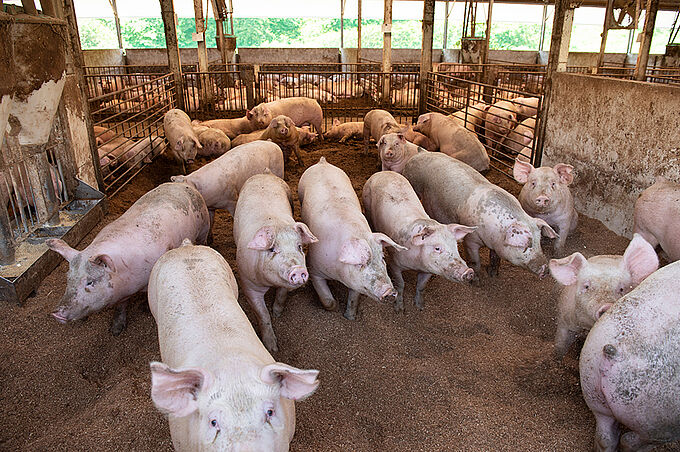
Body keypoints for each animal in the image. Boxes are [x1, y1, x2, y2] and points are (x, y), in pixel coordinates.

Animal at [46, 182, 210, 335]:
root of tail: (182, 184)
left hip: (204, 224)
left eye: (90, 282)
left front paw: (144, 308)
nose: (56, 313)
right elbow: (121, 306)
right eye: (68, 278)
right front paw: (115, 330)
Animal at [234, 173, 318, 352]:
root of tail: (264, 173)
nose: (297, 269)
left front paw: (277, 313)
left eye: (300, 247)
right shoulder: (248, 283)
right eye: (272, 249)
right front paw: (272, 348)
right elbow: (262, 315)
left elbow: (281, 294)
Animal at [298, 157, 404, 320]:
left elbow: (354, 298)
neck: (338, 272)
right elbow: (327, 299)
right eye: (360, 263)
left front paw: (350, 317)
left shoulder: (356, 282)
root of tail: (322, 161)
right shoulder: (314, 268)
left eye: (382, 258)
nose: (390, 292)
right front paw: (334, 308)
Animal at [363, 171, 476, 312]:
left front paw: (420, 306)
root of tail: (382, 172)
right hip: (366, 201)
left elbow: (421, 286)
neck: (416, 264)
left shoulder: (428, 270)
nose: (469, 271)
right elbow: (400, 284)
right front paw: (399, 310)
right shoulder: (394, 263)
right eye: (437, 248)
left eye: (455, 246)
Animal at [403, 152, 558, 282]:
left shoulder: (496, 245)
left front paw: (493, 274)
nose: (545, 269)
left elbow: (495, 257)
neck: (495, 233)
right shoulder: (470, 239)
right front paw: (477, 281)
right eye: (526, 245)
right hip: (413, 183)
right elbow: (474, 260)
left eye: (539, 241)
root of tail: (418, 154)